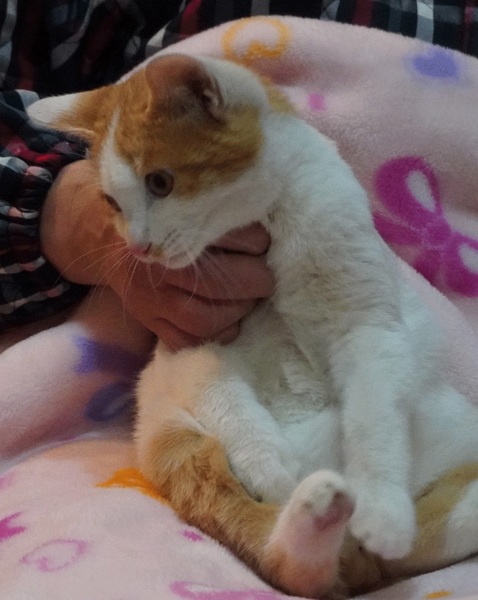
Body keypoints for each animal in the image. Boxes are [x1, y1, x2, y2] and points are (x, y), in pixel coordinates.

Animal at [27, 53, 478, 598]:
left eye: (160, 182)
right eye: (112, 202)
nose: (138, 248)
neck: (270, 223)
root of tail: (359, 567)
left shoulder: (369, 328)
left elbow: (375, 419)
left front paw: (384, 510)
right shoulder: (190, 344)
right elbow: (224, 396)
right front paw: (269, 463)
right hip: (169, 435)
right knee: (281, 560)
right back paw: (318, 504)